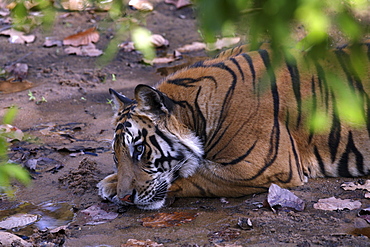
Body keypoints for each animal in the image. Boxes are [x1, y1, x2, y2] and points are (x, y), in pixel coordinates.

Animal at [96, 43, 370, 209]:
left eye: (140, 150)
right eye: (116, 155)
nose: (125, 197)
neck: (196, 113)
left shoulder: (258, 168)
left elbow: (195, 174)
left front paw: (108, 185)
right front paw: (111, 182)